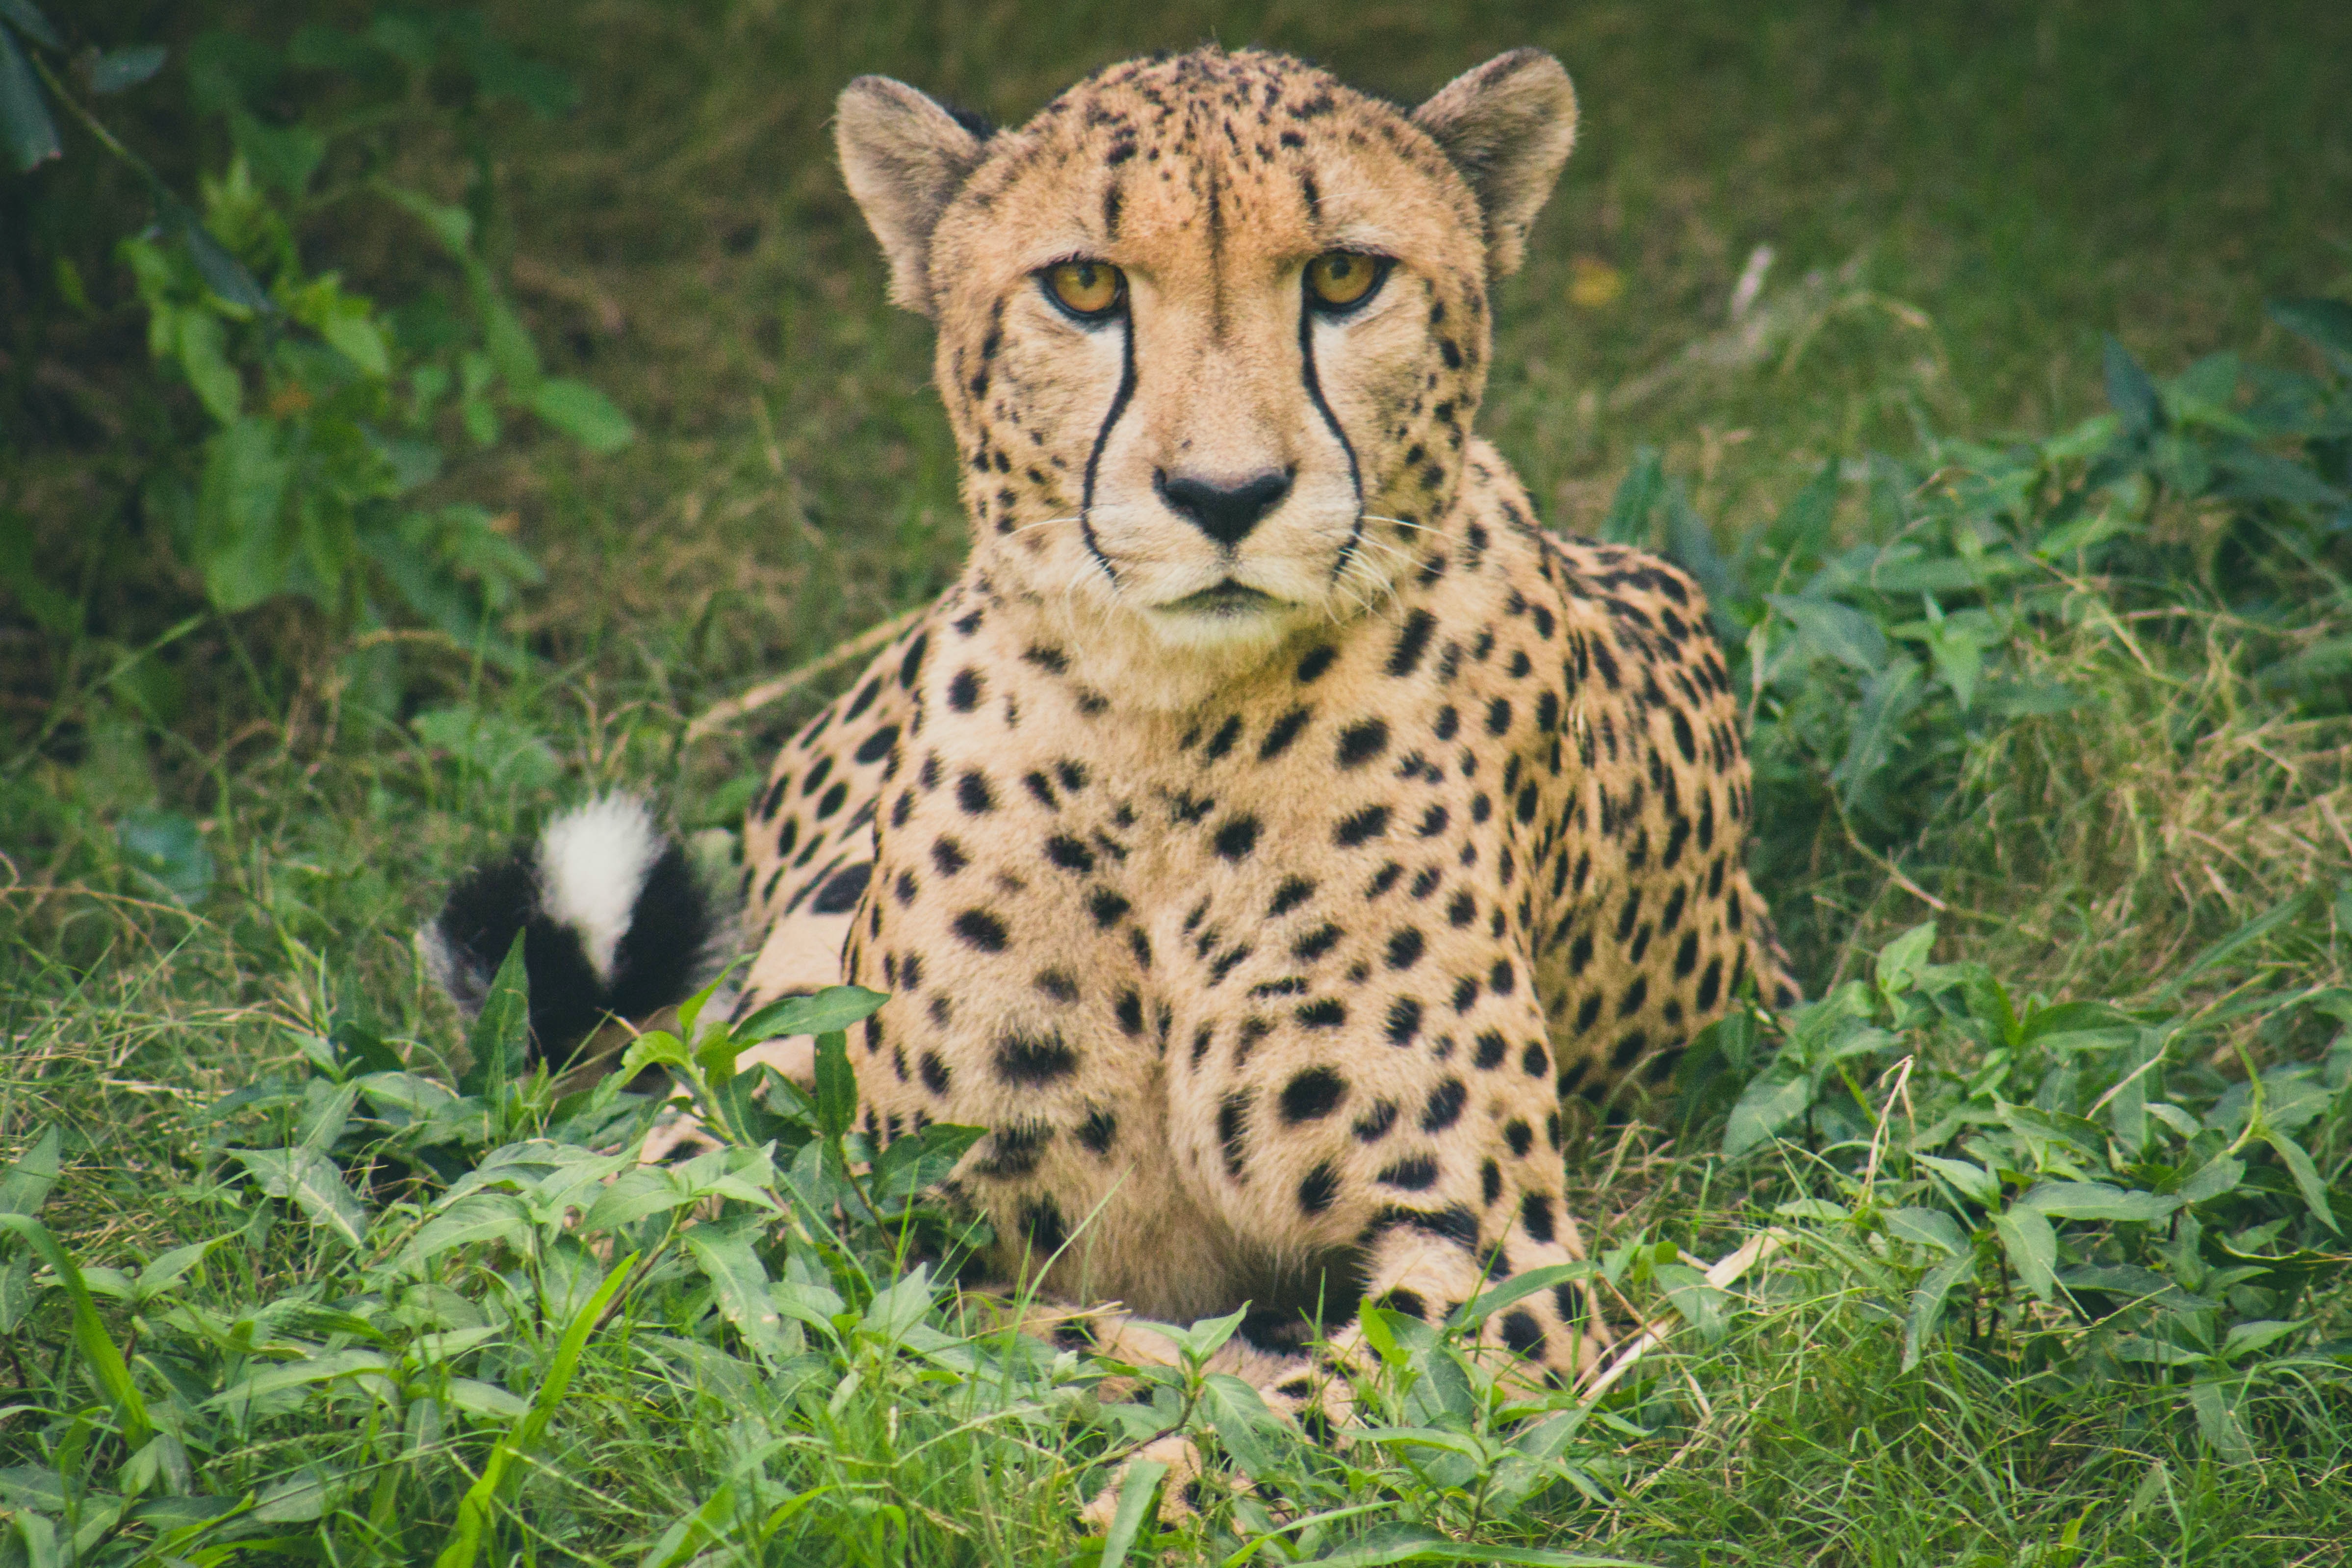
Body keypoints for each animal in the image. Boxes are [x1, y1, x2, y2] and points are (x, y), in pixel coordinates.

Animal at [428, 46, 1797, 1420]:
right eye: (1083, 284)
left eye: (1344, 277)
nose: (1225, 496)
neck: (1169, 731)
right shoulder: (844, 1197)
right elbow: (980, 1332)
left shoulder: (1493, 1261)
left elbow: (1262, 1412)